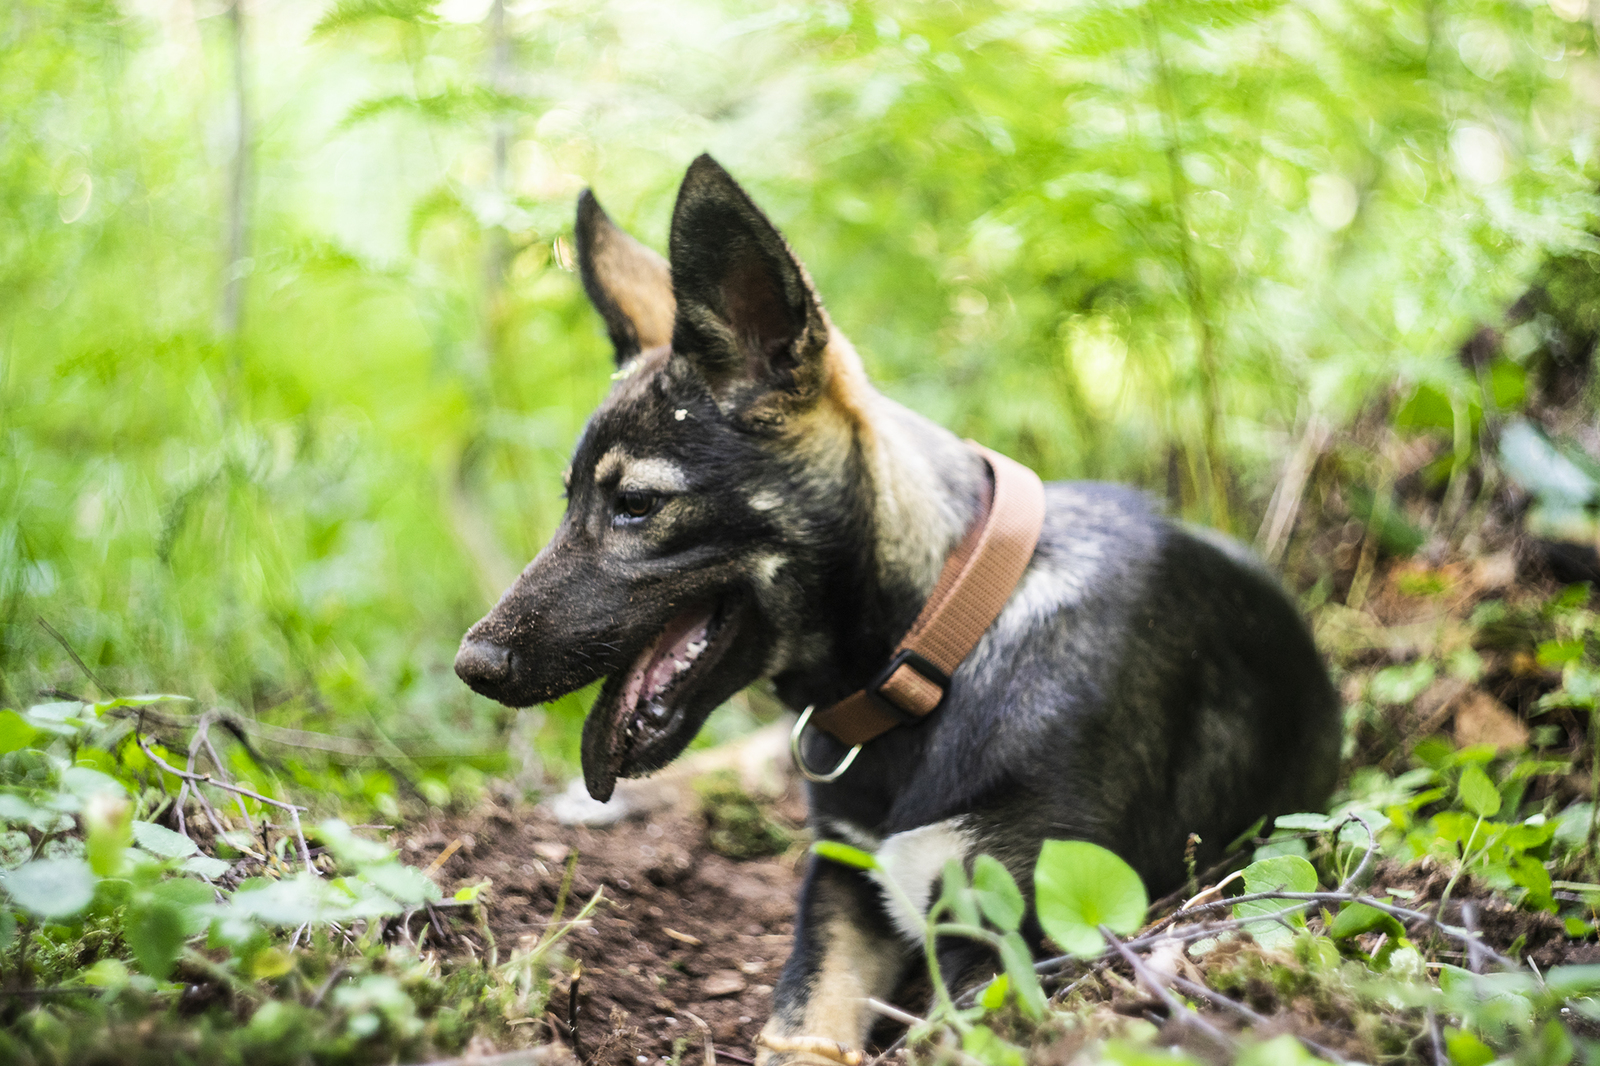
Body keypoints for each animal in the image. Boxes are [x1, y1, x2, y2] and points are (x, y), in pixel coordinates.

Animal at [457, 153, 1344, 1056]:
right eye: (570, 501)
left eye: (636, 504)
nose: (473, 666)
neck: (936, 645)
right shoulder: (841, 894)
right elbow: (797, 1025)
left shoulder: (1012, 935)